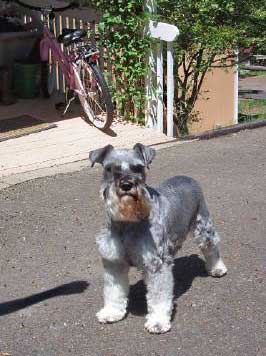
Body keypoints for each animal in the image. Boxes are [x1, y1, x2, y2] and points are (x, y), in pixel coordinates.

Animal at [89, 142, 227, 334]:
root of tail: (187, 178)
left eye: (138, 168)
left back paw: (217, 268)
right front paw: (112, 312)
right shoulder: (113, 262)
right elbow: (113, 290)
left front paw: (158, 322)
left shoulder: (156, 264)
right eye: (110, 168)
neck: (128, 222)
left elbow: (159, 295)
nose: (126, 184)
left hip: (203, 227)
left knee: (211, 247)